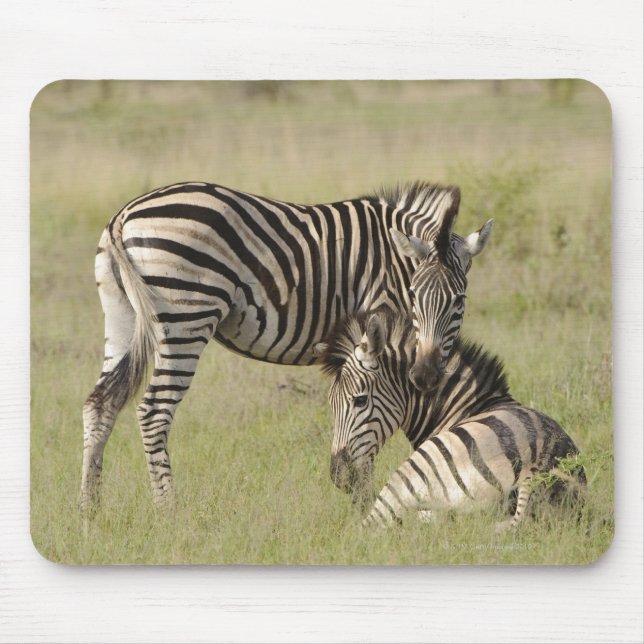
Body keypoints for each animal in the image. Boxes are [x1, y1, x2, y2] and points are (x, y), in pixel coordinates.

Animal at [80, 180, 493, 515]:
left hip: (120, 315)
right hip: (186, 316)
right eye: (414, 294)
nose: (424, 375)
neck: (395, 261)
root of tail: (123, 216)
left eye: (459, 300)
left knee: (100, 403)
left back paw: (90, 511)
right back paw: (169, 512)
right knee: (153, 412)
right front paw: (366, 503)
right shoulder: (377, 329)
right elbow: (369, 415)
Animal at [316, 312, 585, 528]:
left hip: (414, 471)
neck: (468, 406)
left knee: (366, 527)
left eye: (360, 401)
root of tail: (535, 467)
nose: (339, 475)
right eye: (331, 404)